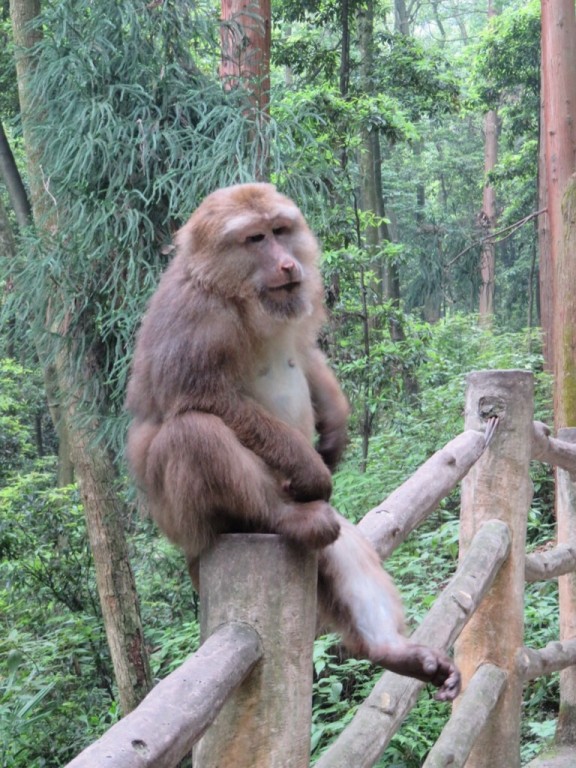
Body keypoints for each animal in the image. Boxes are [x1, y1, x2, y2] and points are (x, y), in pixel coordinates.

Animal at [125, 182, 460, 704]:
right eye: (256, 238)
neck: (240, 296)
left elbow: (303, 353)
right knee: (194, 431)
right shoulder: (198, 315)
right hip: (186, 518)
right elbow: (201, 395)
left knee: (341, 544)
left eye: (281, 231)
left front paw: (336, 429)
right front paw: (310, 467)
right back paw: (284, 517)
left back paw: (394, 652)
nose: (287, 264)